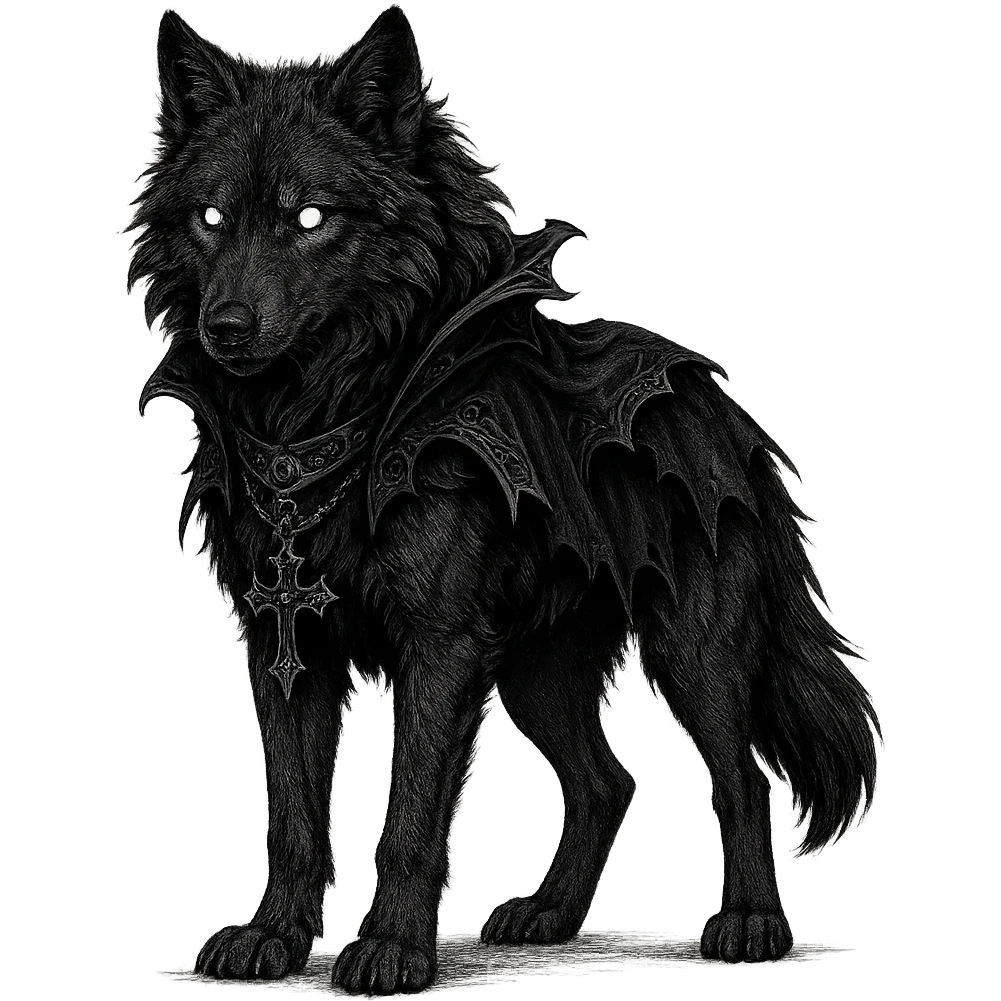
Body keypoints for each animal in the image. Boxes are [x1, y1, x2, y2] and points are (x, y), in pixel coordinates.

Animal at [132, 7, 879, 993]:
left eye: (309, 217)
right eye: (211, 216)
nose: (224, 327)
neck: (312, 419)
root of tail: (721, 403)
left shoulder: (442, 646)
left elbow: (410, 816)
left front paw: (391, 947)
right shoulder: (282, 643)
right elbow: (292, 812)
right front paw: (274, 934)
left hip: (693, 653)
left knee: (743, 773)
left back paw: (749, 920)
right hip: (536, 672)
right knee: (607, 779)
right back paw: (547, 913)